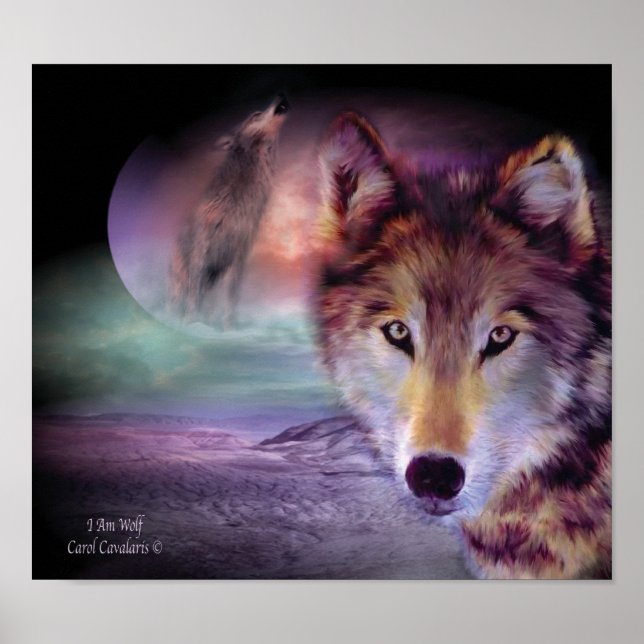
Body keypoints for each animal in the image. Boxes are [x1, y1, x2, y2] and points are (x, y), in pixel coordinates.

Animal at [168, 95, 289, 326]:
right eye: (256, 115)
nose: (281, 95)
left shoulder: (240, 254)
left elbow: (231, 298)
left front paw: (228, 328)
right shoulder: (203, 248)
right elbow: (194, 293)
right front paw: (191, 324)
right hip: (181, 277)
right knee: (181, 296)